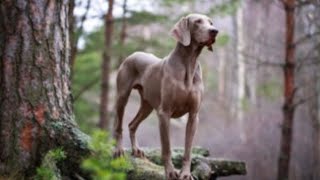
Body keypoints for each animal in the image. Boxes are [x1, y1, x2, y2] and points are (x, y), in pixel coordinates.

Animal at [114, 13, 219, 179]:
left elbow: (188, 150)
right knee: (119, 125)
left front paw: (185, 174)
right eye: (197, 22)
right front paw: (170, 172)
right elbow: (167, 148)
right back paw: (119, 150)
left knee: (132, 124)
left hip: (147, 105)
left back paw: (136, 150)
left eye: (211, 23)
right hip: (122, 96)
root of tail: (134, 53)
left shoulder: (193, 116)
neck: (188, 64)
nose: (215, 31)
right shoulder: (164, 114)